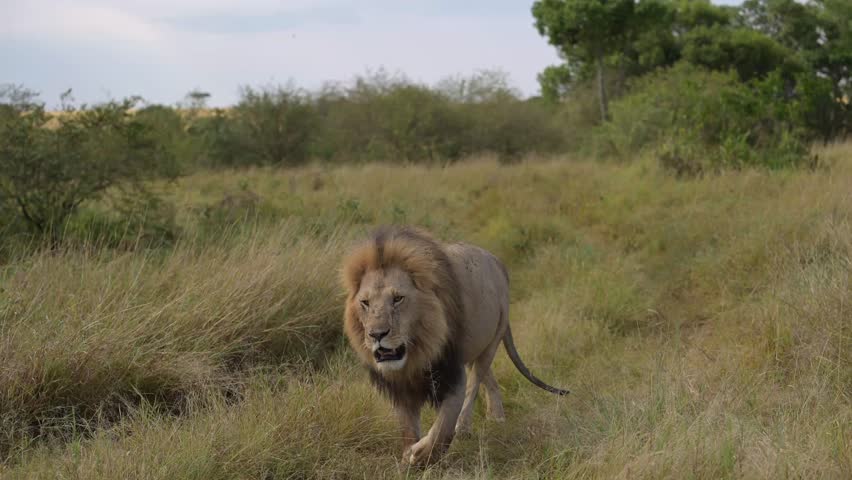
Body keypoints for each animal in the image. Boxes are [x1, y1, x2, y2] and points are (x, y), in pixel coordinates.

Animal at [341, 226, 568, 465]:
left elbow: (443, 425)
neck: (417, 353)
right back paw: (496, 416)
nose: (376, 334)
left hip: (492, 339)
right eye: (365, 303)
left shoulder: (451, 372)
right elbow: (407, 427)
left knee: (475, 383)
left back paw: (465, 427)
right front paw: (406, 457)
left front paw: (422, 453)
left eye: (398, 299)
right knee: (488, 379)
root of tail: (497, 261)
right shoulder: (400, 387)